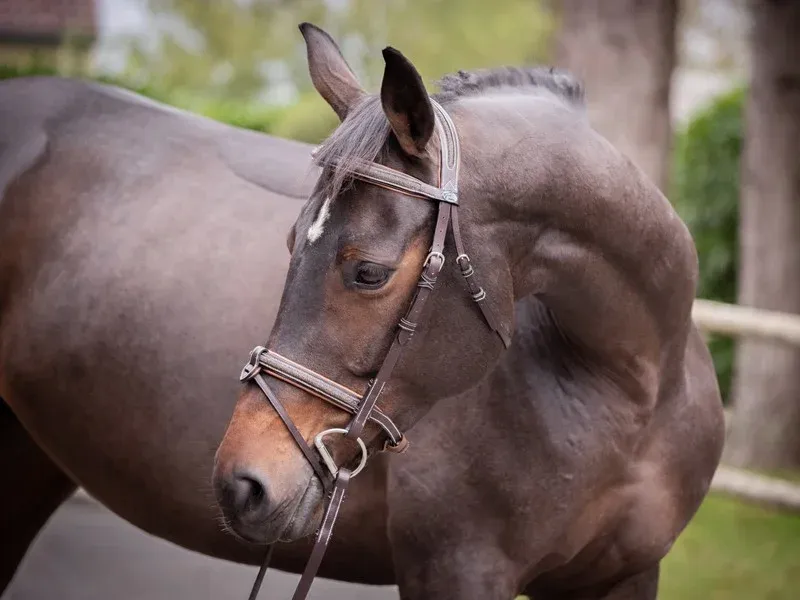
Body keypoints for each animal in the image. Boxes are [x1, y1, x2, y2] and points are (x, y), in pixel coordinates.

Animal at [0, 23, 724, 600]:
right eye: (291, 243)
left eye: (368, 272)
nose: (242, 485)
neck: (631, 386)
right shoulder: (457, 571)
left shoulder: (625, 576)